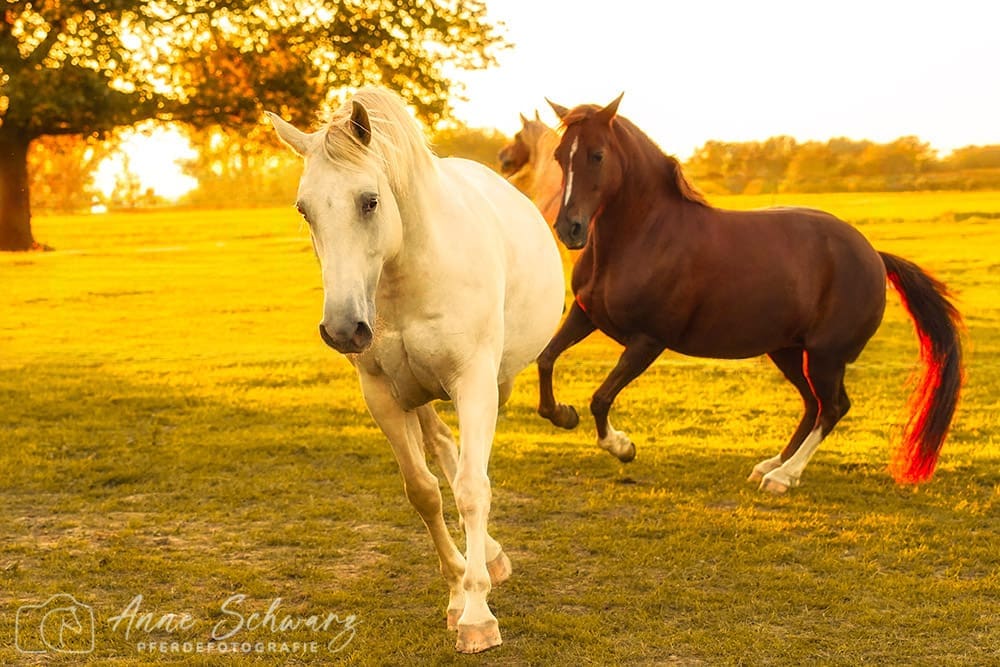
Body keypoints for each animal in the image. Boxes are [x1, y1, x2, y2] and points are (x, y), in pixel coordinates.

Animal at [266, 86, 568, 656]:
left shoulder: (474, 383)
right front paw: (456, 592)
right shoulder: (383, 395)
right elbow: (423, 490)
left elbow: (472, 488)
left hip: (496, 384)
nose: (343, 329)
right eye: (303, 209)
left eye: (369, 200)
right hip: (419, 393)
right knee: (442, 447)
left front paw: (476, 616)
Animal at [536, 92, 964, 496]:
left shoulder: (647, 341)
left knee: (833, 408)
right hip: (789, 351)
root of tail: (873, 255)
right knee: (813, 405)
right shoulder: (585, 315)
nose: (569, 229)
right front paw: (563, 413)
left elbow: (600, 397)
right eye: (559, 155)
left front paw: (623, 447)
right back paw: (770, 465)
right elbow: (546, 360)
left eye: (597, 155)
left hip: (825, 356)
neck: (644, 234)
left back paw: (783, 477)